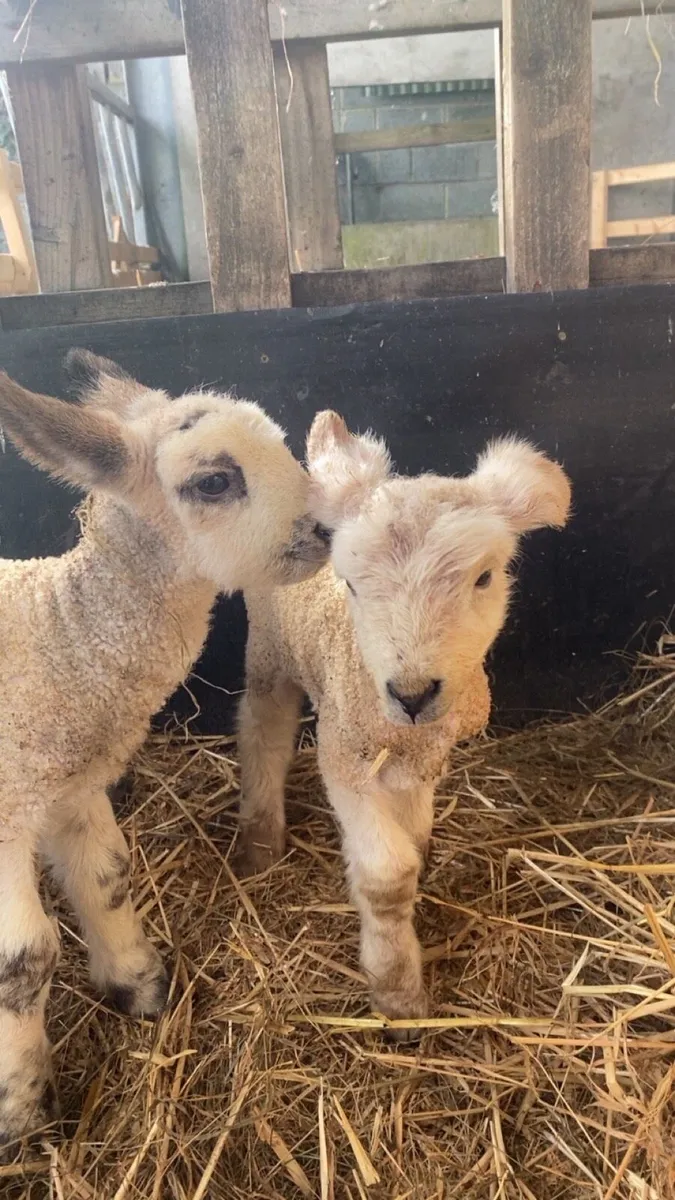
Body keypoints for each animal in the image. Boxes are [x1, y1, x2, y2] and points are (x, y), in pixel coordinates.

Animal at [0, 351, 329, 1151]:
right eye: (213, 481)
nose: (332, 527)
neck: (57, 639)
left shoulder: (72, 783)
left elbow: (110, 878)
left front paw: (142, 989)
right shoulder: (7, 804)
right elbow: (22, 963)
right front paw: (23, 1117)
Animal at [238, 411, 571, 1037]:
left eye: (485, 578)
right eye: (349, 582)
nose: (412, 693)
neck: (401, 731)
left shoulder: (423, 754)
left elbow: (415, 829)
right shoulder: (345, 758)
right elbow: (388, 876)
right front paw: (397, 992)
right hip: (270, 646)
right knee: (262, 729)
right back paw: (261, 838)